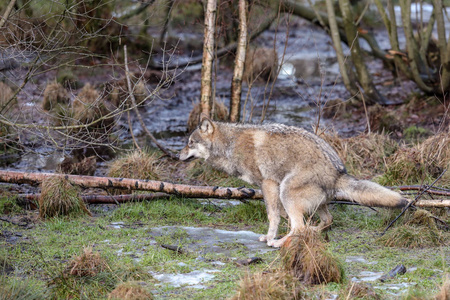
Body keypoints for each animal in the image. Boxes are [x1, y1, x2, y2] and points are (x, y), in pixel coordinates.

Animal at [178, 114, 408, 246]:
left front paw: (271, 238)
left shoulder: (269, 184)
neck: (230, 145)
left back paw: (280, 243)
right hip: (314, 203)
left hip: (286, 191)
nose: (178, 155)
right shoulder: (271, 189)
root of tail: (338, 172)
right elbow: (279, 216)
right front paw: (271, 236)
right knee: (323, 222)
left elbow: (272, 216)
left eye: (190, 143)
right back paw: (310, 233)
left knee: (300, 227)